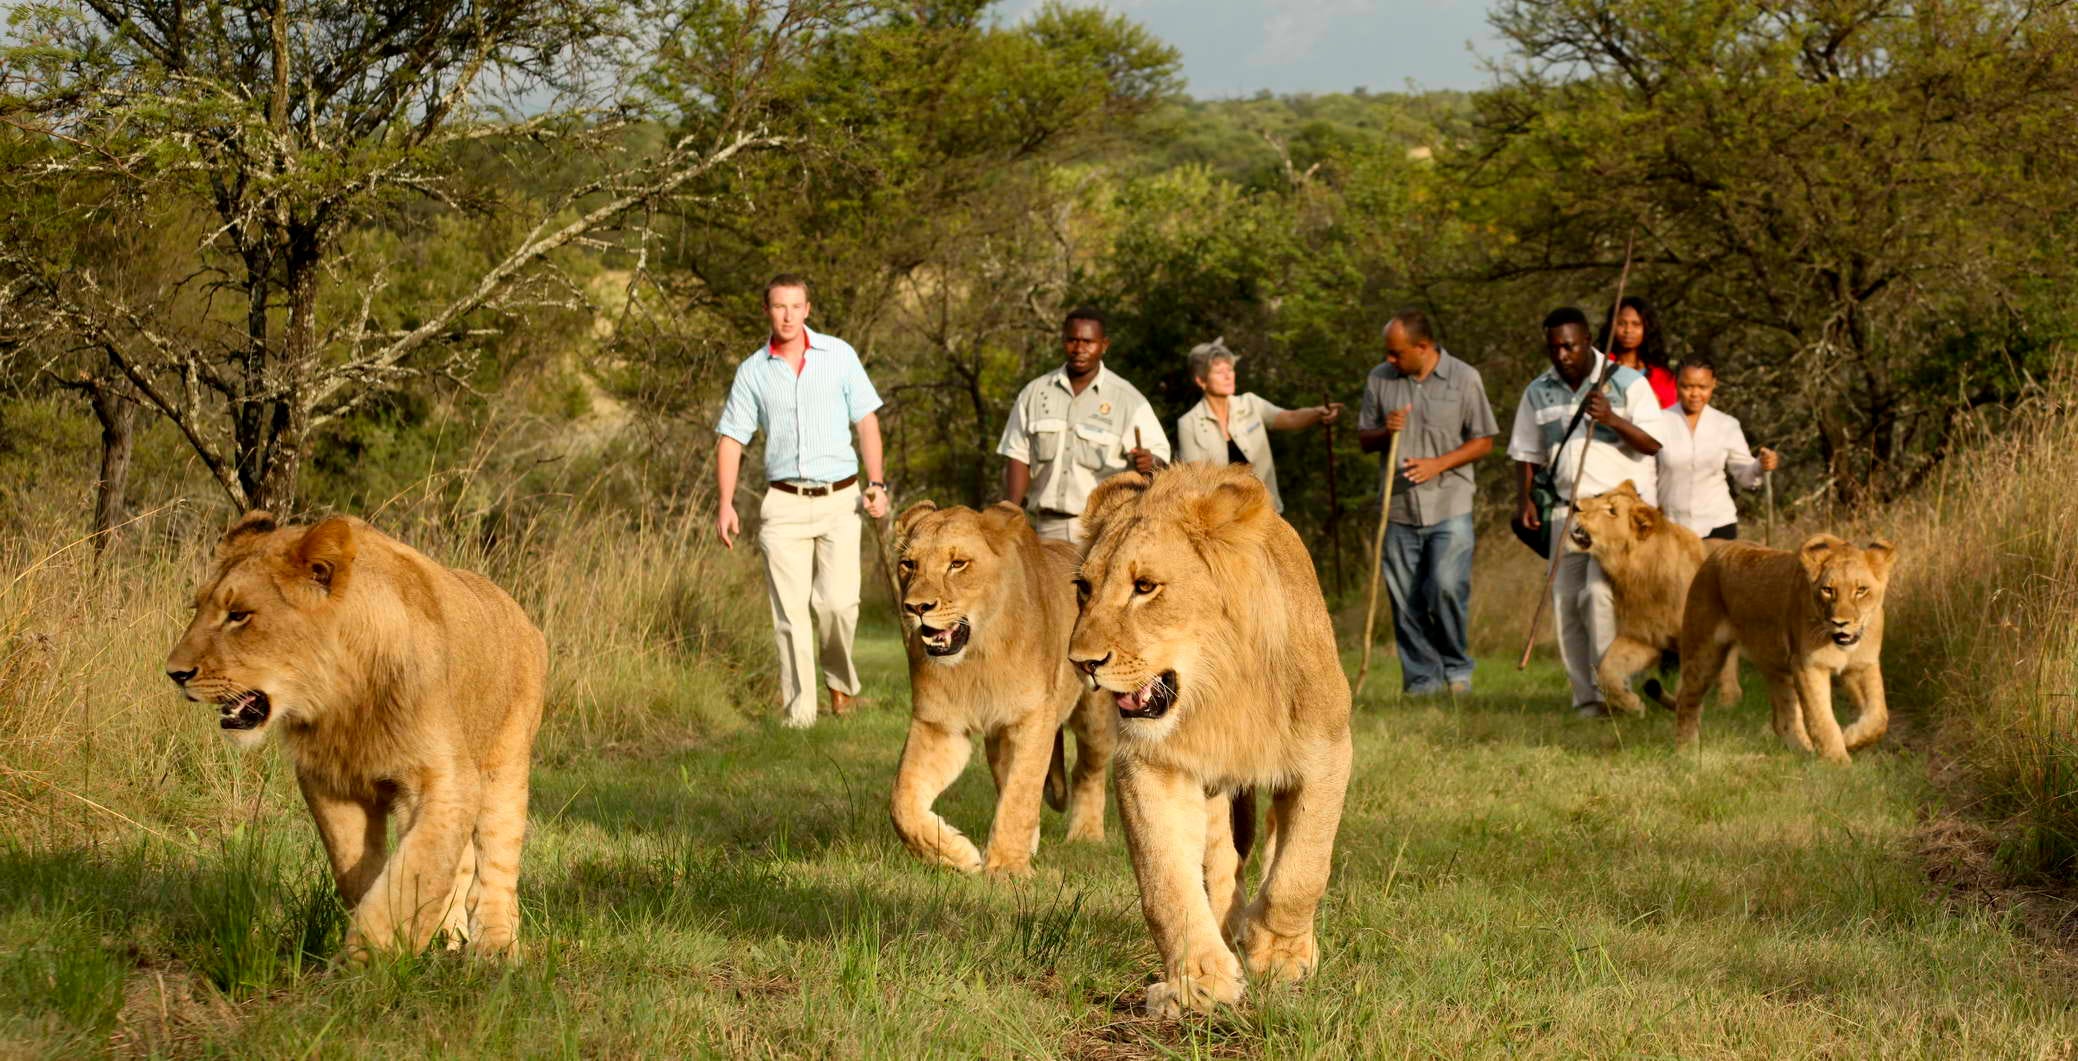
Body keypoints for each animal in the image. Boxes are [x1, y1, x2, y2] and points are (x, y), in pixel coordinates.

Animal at [164, 511, 547, 959]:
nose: (174, 673)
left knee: (496, 863)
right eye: (198, 608)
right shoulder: (331, 784)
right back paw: (449, 936)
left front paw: (370, 955)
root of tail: (520, 613)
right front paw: (389, 940)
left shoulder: (446, 780)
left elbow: (414, 870)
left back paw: (496, 946)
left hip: (505, 766)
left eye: (239, 614)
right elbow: (364, 871)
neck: (344, 700)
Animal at [888, 500, 1115, 877]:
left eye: (957, 564)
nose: (916, 607)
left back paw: (1086, 835)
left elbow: (1021, 794)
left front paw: (1007, 867)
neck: (976, 658)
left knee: (1087, 770)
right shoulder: (939, 726)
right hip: (998, 738)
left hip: (1094, 720)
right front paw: (957, 855)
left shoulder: (1033, 720)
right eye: (909, 564)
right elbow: (902, 800)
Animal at [1066, 464, 1352, 1017]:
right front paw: (1199, 979)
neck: (1221, 692)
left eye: (1145, 586)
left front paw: (1279, 955)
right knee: (1221, 866)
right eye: (1083, 588)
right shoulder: (1152, 766)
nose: (1082, 663)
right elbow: (1165, 882)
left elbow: (1301, 870)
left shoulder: (1328, 753)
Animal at [1566, 481, 1740, 715]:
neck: (1638, 575)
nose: (1575, 505)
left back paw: (1727, 706)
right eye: (1599, 495)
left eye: (1612, 511)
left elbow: (1685, 684)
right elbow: (1607, 672)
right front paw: (1633, 705)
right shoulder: (1642, 637)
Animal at [1671, 534, 1897, 763]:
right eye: (1827, 590)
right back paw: (1686, 751)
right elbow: (1821, 719)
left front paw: (1849, 739)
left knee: (1783, 720)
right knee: (1686, 699)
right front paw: (1838, 761)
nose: (1840, 623)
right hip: (1704, 652)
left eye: (1861, 590)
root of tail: (1718, 551)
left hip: (1778, 669)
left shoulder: (1863, 665)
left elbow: (1879, 717)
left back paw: (1804, 753)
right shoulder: (1809, 665)